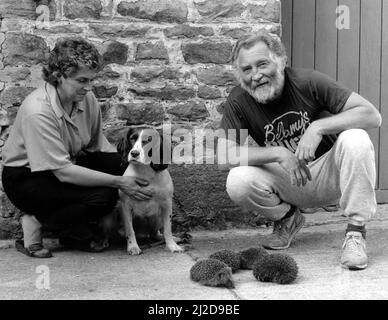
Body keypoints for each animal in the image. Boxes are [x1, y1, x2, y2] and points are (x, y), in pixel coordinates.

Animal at [101, 126, 183, 254]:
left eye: (149, 140)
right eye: (132, 138)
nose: (134, 153)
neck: (144, 171)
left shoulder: (167, 204)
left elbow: (167, 229)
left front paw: (172, 245)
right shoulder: (125, 206)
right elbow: (130, 230)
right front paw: (133, 247)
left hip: (157, 217)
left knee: (154, 233)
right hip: (111, 215)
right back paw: (102, 242)